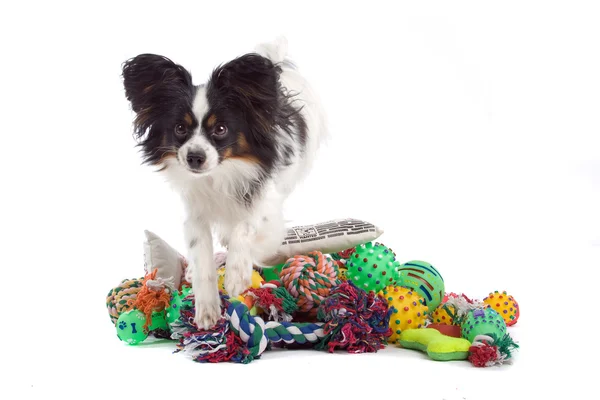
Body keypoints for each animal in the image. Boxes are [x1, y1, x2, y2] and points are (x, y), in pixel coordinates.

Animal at [123, 37, 328, 328]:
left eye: (220, 129)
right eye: (180, 129)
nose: (194, 157)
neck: (220, 174)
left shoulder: (266, 205)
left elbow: (246, 228)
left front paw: (236, 274)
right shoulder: (195, 215)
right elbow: (202, 259)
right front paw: (206, 309)